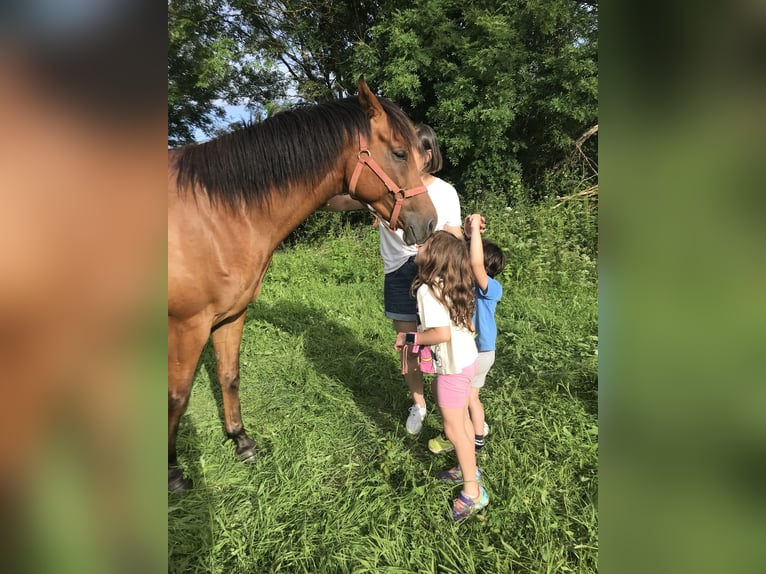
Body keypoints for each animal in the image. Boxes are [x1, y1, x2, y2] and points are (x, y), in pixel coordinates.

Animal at [166, 77, 438, 490]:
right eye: (399, 153)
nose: (429, 223)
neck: (215, 215)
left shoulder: (230, 316)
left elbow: (229, 376)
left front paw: (242, 442)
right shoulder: (187, 326)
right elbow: (177, 397)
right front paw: (172, 472)